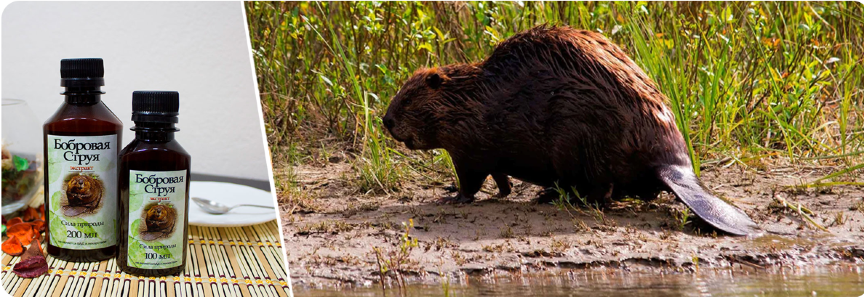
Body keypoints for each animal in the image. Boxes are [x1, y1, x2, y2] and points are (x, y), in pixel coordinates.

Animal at [382, 25, 760, 235]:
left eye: (408, 98)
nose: (386, 121)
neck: (472, 96)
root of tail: (673, 165)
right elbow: (498, 178)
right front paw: (501, 190)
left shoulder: (469, 143)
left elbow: (470, 179)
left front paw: (451, 196)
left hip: (577, 138)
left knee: (600, 192)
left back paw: (547, 195)